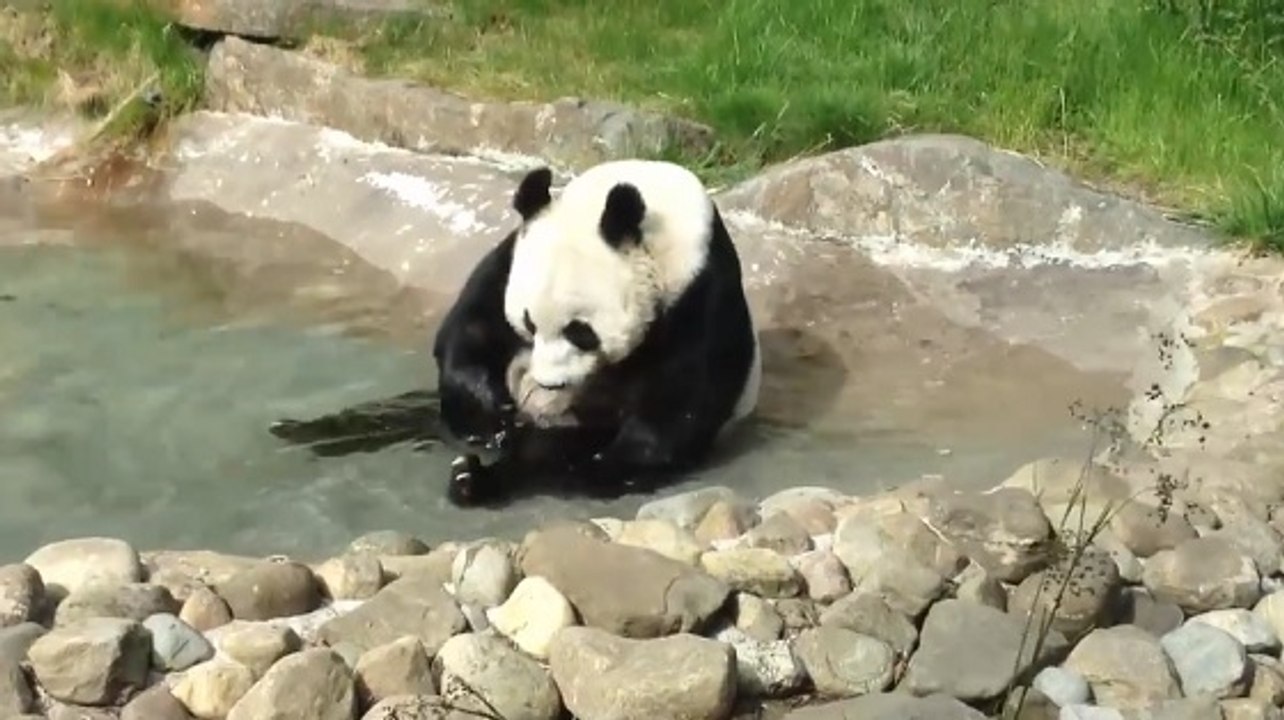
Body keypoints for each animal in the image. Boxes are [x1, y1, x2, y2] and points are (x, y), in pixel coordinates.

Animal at [434, 158, 761, 506]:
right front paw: (493, 409)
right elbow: (470, 328)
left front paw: (606, 467)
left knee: (552, 453)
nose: (550, 385)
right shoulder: (508, 262)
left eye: (580, 332)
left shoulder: (698, 290)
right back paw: (472, 476)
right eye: (529, 324)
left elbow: (683, 397)